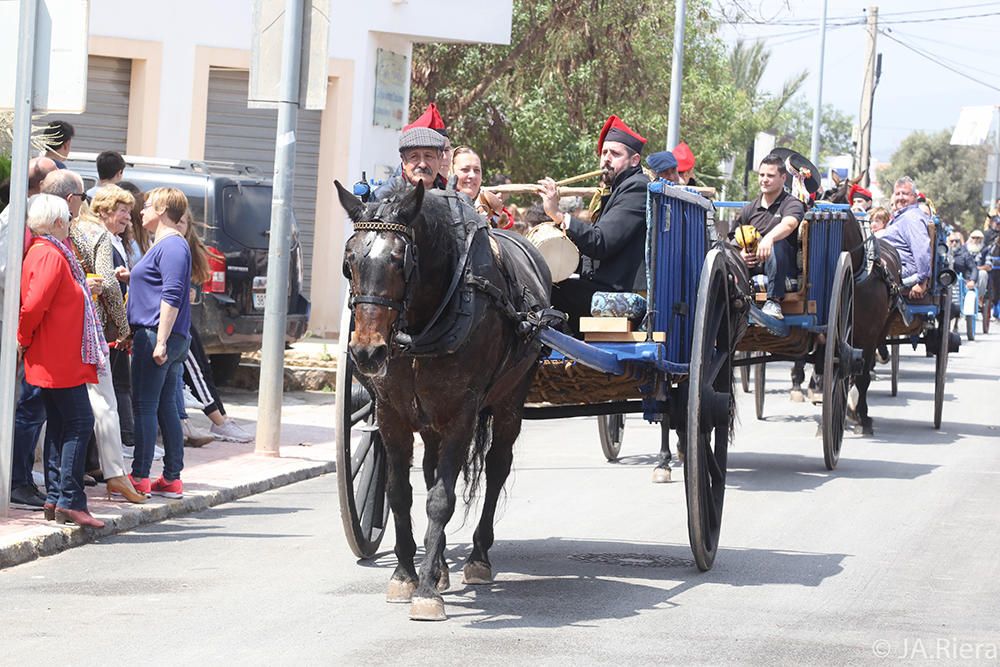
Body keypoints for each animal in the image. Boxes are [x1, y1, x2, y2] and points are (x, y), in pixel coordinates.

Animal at [336, 179, 556, 620]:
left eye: (399, 261)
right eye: (349, 262)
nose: (367, 352)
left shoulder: (461, 413)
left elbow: (441, 499)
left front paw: (425, 592)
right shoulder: (391, 413)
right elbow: (399, 493)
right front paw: (407, 575)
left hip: (510, 400)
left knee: (496, 467)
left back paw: (477, 558)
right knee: (431, 470)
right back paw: (436, 567)